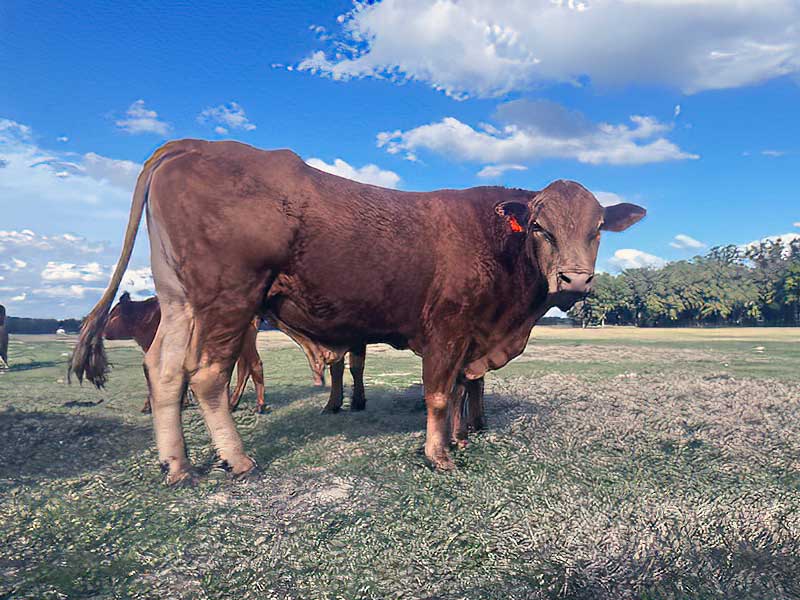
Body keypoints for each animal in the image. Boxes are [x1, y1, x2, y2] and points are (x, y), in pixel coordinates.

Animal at [105, 292, 266, 413]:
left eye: (112, 314)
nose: (102, 329)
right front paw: (185, 402)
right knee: (244, 368)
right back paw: (232, 403)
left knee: (255, 364)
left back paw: (259, 406)